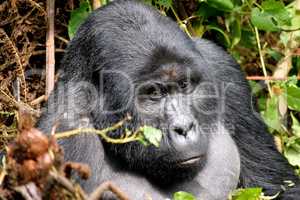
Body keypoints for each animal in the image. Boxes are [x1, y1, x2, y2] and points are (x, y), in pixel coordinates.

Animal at [37, 0, 300, 199]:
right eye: (154, 94)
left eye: (184, 86)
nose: (184, 127)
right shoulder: (64, 133)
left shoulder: (223, 68)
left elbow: (276, 186)